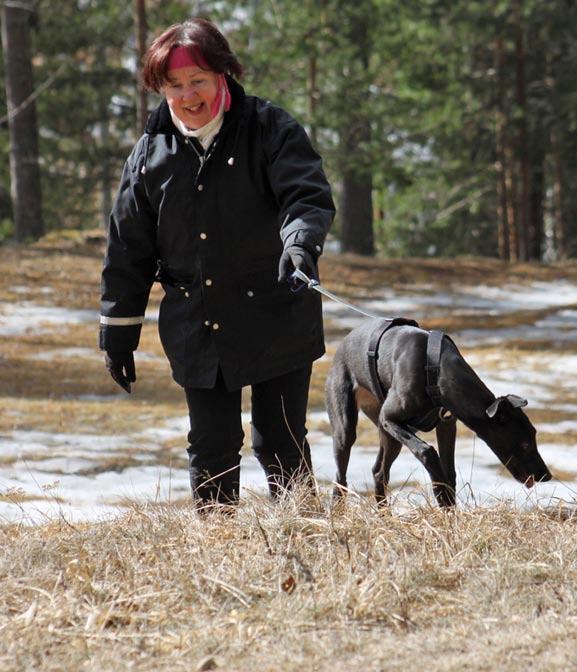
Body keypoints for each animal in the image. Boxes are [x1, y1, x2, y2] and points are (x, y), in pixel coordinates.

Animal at [326, 318, 552, 506]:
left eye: (534, 436)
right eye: (524, 444)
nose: (546, 476)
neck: (437, 371)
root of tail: (342, 344)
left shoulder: (446, 424)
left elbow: (449, 472)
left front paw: (449, 505)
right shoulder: (390, 418)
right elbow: (427, 451)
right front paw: (440, 492)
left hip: (388, 434)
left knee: (379, 472)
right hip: (349, 427)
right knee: (341, 476)